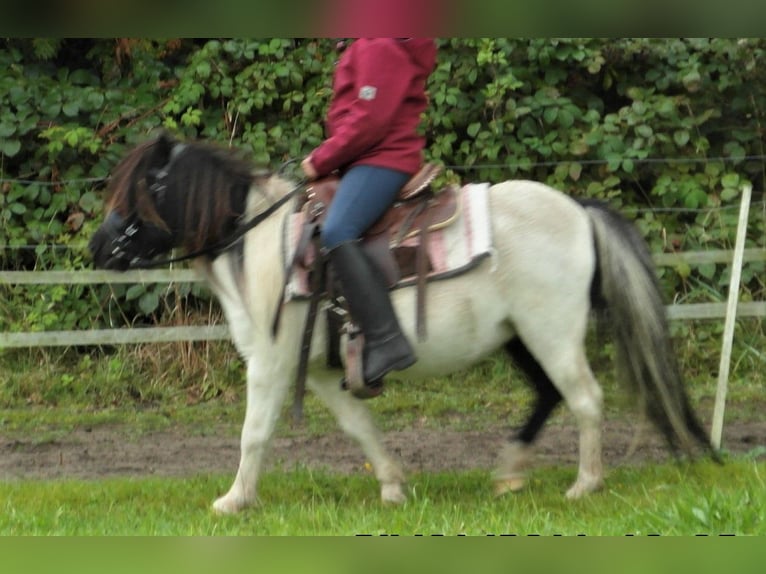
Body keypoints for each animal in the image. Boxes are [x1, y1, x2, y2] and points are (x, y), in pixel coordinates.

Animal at [91, 135, 720, 516]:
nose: (99, 247)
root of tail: (578, 211)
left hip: (551, 332)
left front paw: (234, 500)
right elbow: (360, 428)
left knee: (585, 398)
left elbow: (254, 432)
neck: (265, 245)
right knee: (547, 395)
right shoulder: (323, 372)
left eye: (144, 187)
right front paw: (393, 484)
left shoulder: (270, 364)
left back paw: (584, 484)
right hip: (520, 337)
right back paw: (510, 471)